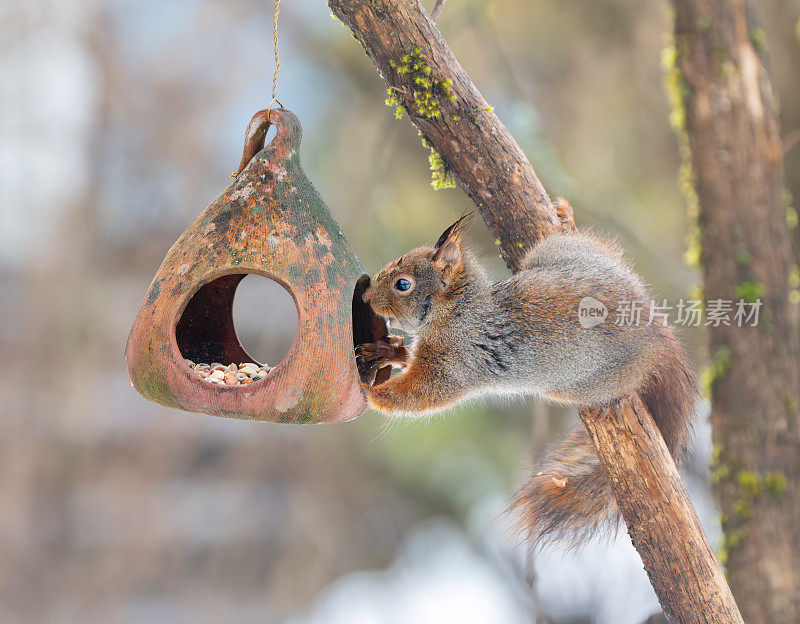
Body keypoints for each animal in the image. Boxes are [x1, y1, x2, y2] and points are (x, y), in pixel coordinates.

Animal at [354, 204, 696, 544]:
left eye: (403, 284)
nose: (367, 297)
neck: (458, 310)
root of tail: (656, 329)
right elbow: (407, 357)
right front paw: (383, 351)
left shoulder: (455, 362)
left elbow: (418, 392)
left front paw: (370, 393)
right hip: (558, 252)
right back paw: (565, 217)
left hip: (582, 384)